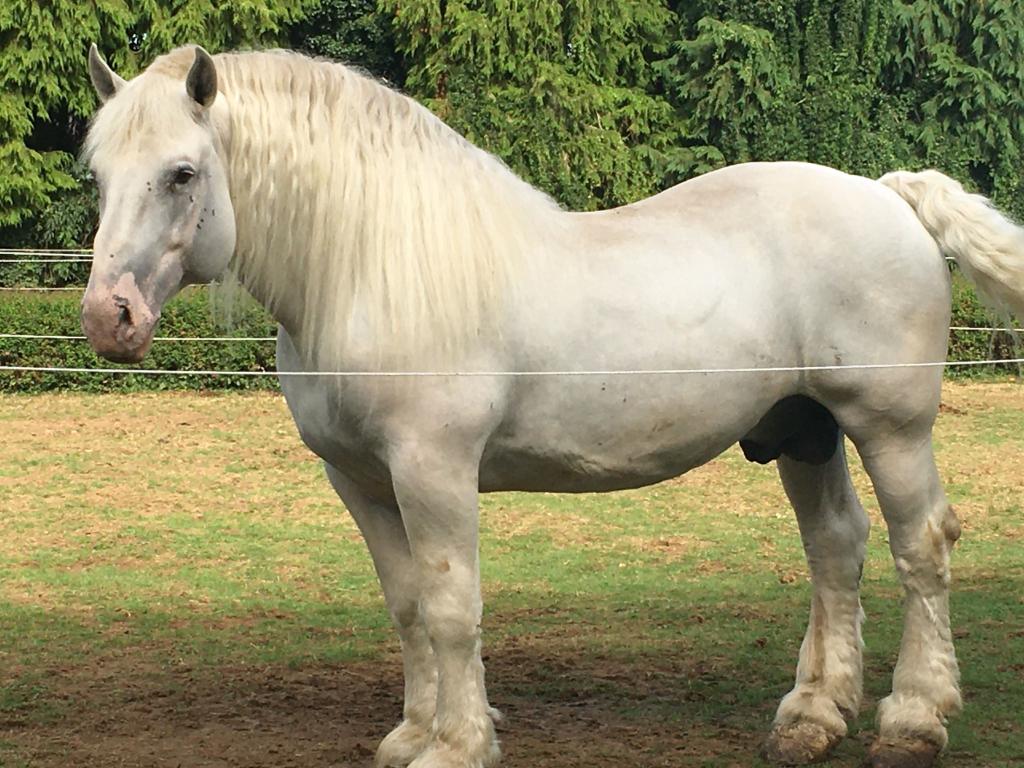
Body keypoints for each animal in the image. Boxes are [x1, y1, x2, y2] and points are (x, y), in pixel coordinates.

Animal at [81, 44, 1024, 768]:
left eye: (182, 172)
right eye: (99, 174)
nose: (107, 317)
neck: (371, 268)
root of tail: (886, 193)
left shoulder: (433, 472)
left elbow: (452, 607)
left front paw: (457, 745)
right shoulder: (361, 482)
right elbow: (408, 605)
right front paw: (412, 732)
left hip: (888, 428)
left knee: (919, 547)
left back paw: (913, 719)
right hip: (804, 431)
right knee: (836, 549)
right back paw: (812, 718)